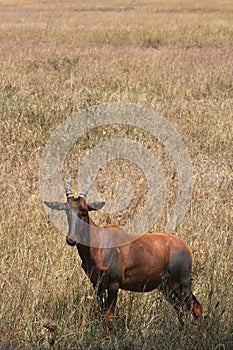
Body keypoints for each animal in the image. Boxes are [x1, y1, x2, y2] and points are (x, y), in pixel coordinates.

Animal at [43, 179, 202, 334]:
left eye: (84, 210)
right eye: (67, 210)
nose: (71, 240)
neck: (100, 242)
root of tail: (186, 247)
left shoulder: (114, 284)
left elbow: (109, 316)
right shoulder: (97, 285)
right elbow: (102, 314)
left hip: (182, 283)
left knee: (193, 307)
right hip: (166, 287)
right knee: (181, 309)